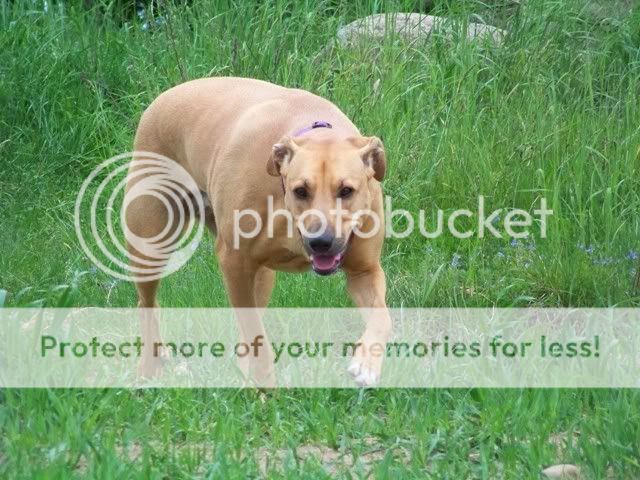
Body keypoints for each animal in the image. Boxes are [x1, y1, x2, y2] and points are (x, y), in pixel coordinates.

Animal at [126, 77, 391, 386]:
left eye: (346, 190)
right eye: (301, 190)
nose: (321, 242)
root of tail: (163, 98)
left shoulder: (365, 272)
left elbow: (383, 318)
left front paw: (367, 362)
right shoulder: (234, 263)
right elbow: (256, 336)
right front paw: (266, 385)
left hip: (261, 276)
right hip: (149, 245)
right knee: (147, 305)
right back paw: (149, 367)